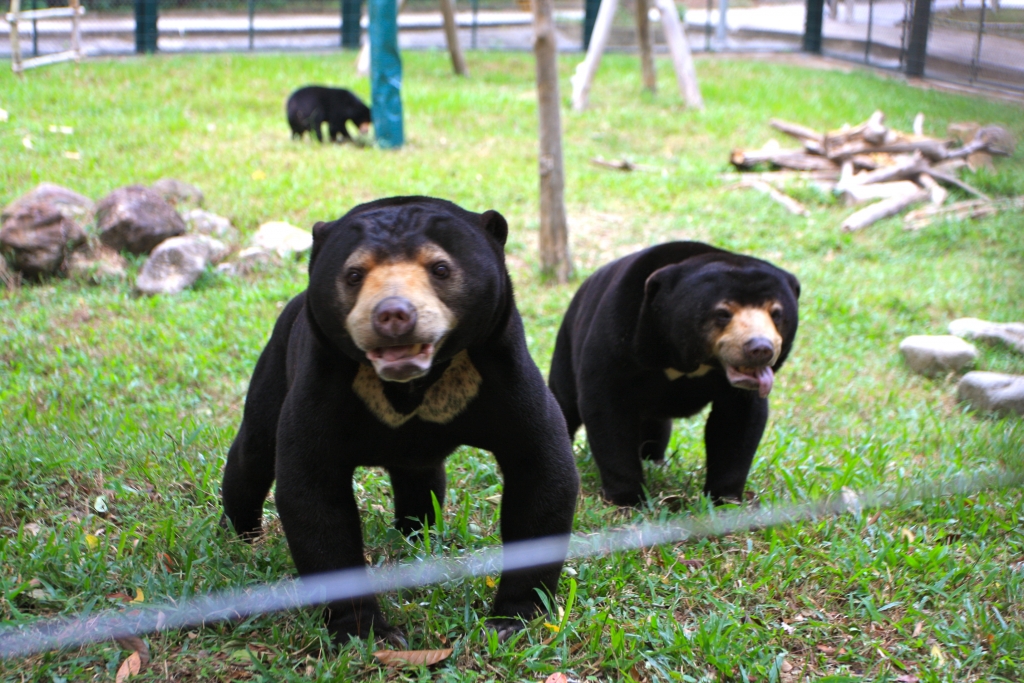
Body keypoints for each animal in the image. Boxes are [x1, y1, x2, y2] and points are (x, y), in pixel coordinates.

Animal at [220, 193, 581, 647]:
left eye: (440, 268)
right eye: (354, 274)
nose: (393, 315)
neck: (411, 385)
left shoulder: (502, 371)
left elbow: (540, 469)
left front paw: (511, 620)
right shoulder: (324, 380)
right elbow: (313, 492)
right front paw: (367, 633)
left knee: (419, 477)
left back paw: (414, 533)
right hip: (274, 363)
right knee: (253, 452)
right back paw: (241, 535)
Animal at [552, 241, 798, 507]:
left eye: (776, 313)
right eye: (723, 313)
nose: (760, 348)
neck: (686, 357)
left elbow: (737, 421)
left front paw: (725, 500)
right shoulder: (620, 338)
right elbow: (606, 408)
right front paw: (628, 499)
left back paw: (655, 460)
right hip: (567, 344)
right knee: (563, 401)